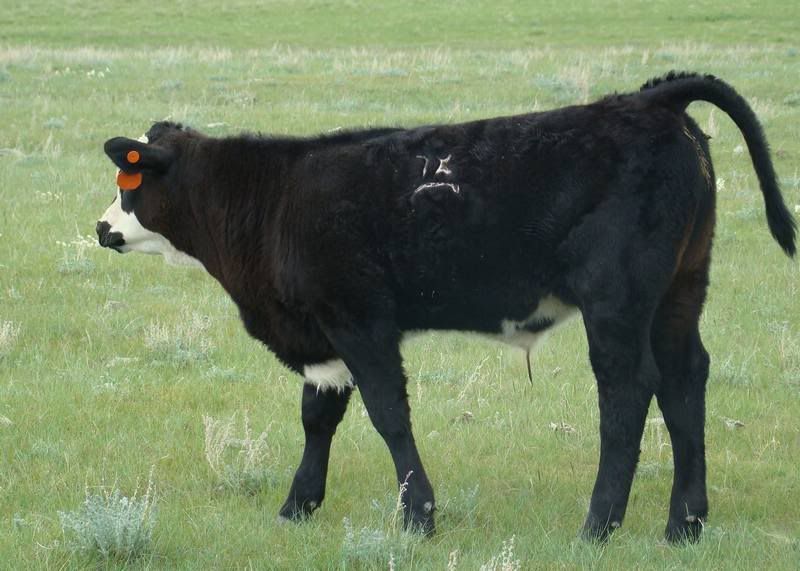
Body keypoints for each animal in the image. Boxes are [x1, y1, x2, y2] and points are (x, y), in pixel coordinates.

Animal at [96, 72, 796, 543]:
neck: (274, 197)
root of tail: (649, 99)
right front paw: (299, 506)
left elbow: (388, 415)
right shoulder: (323, 338)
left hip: (616, 302)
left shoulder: (360, 322)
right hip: (681, 292)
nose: (102, 229)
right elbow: (318, 418)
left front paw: (418, 516)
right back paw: (685, 524)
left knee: (627, 392)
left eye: (130, 181)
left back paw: (598, 525)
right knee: (684, 382)